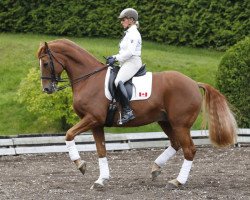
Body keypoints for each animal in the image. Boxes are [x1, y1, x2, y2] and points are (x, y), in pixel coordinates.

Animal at [36, 38, 236, 189]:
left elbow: (69, 134)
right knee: (176, 144)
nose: (47, 89)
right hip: (166, 121)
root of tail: (194, 83)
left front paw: (80, 165)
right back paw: (156, 168)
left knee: (189, 150)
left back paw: (177, 181)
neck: (89, 79)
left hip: (180, 124)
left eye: (45, 63)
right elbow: (101, 150)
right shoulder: (97, 123)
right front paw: (101, 180)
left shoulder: (92, 118)